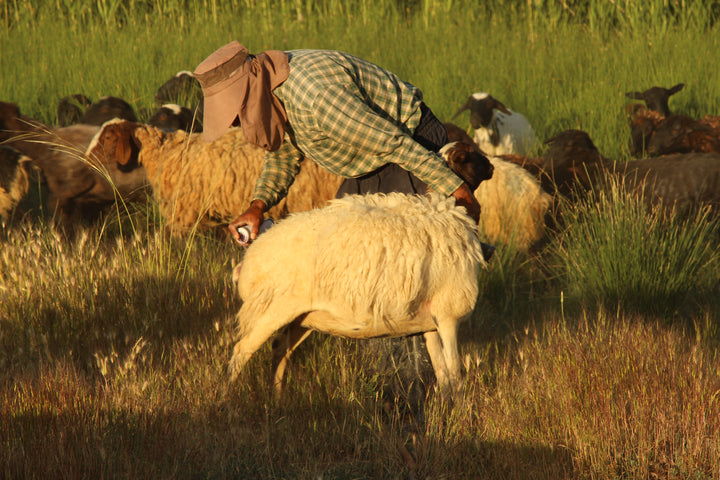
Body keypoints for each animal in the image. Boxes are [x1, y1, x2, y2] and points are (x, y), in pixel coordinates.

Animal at [232, 191, 490, 398]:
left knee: (280, 351)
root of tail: (249, 260)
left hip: (299, 316)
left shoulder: (431, 324)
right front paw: (458, 414)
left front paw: (445, 409)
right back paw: (230, 398)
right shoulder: (448, 317)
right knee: (241, 351)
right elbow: (455, 373)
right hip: (272, 307)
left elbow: (443, 373)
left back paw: (276, 399)